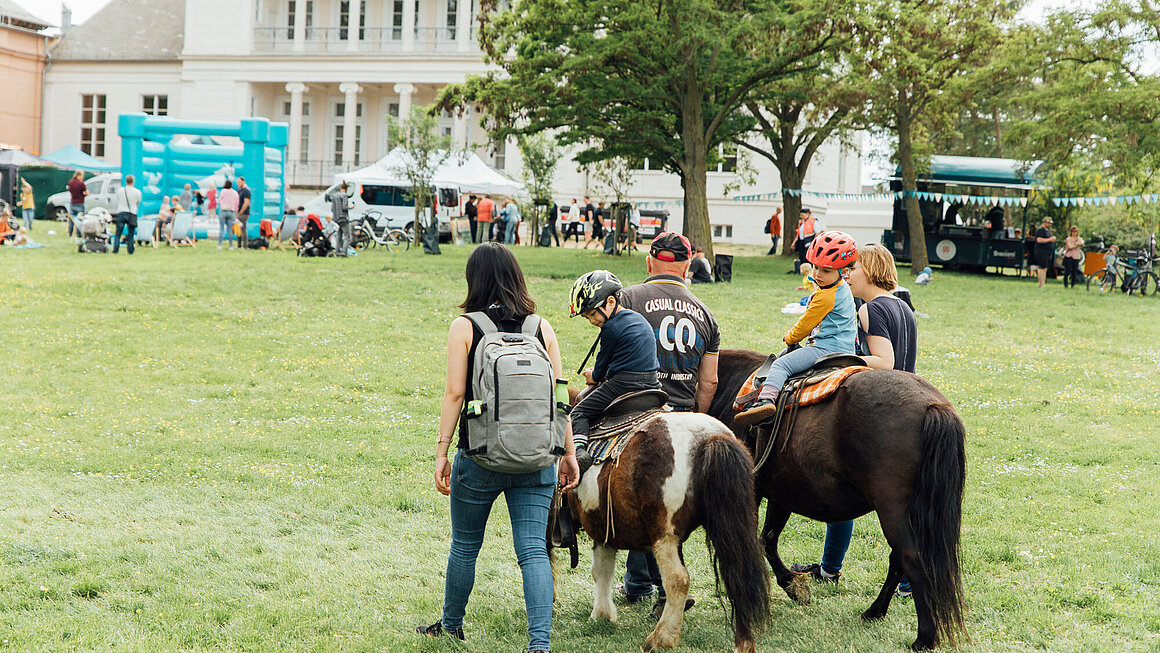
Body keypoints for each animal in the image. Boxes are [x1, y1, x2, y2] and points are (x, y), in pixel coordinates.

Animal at [705, 350, 969, 649]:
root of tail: (933, 406)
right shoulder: (779, 494)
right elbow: (767, 539)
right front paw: (794, 585)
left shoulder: (751, 490)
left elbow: (752, 542)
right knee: (898, 559)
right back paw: (874, 611)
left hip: (893, 510)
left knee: (911, 558)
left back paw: (924, 636)